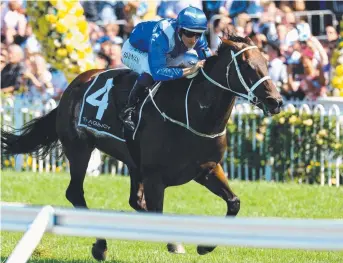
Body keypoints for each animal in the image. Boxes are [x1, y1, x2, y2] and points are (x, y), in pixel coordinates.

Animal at [1, 36, 284, 260]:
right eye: (246, 65)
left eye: (266, 61)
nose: (276, 101)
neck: (191, 112)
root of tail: (74, 85)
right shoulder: (155, 177)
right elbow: (158, 212)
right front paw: (175, 245)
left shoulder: (207, 169)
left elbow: (234, 203)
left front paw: (205, 246)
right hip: (80, 148)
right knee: (75, 193)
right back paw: (100, 245)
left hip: (131, 161)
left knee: (133, 200)